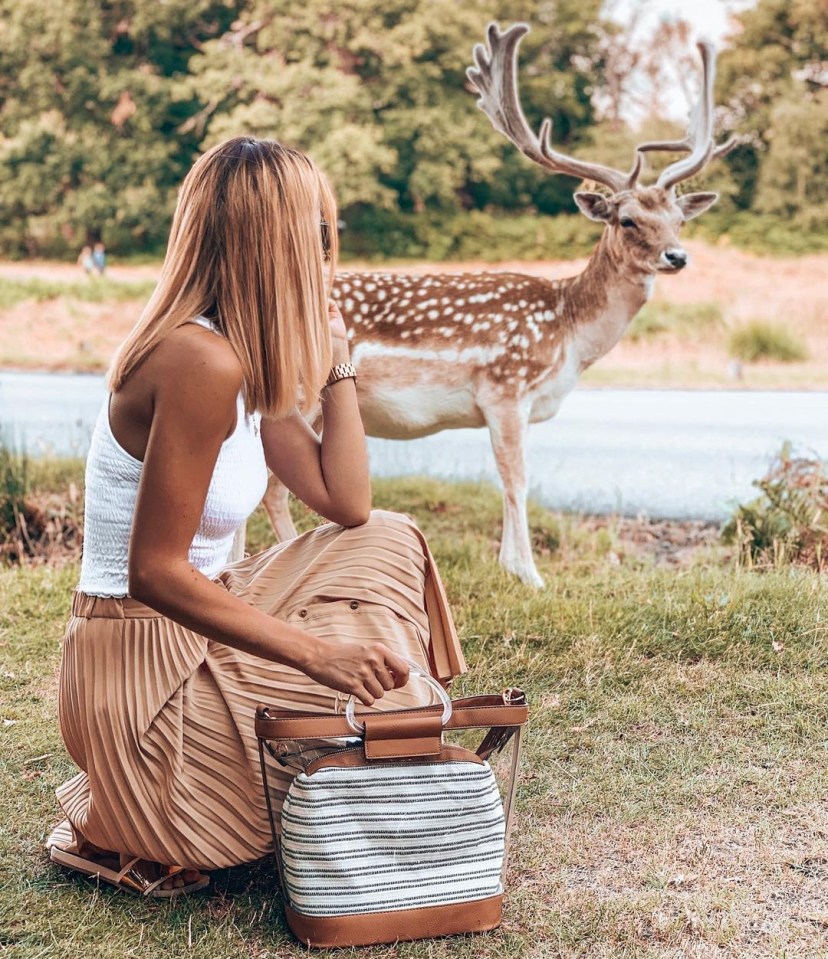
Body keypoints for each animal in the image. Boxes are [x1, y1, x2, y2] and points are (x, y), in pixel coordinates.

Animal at [258, 22, 736, 588]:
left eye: (679, 220)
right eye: (627, 220)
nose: (677, 256)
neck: (569, 336)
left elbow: (509, 478)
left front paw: (510, 565)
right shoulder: (505, 387)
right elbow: (518, 480)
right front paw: (530, 574)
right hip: (302, 395)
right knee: (270, 490)